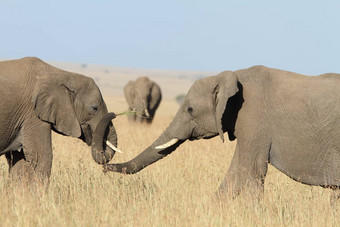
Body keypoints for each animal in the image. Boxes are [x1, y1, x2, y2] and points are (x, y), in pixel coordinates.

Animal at [0, 56, 119, 184]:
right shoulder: (33, 114)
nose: (105, 170)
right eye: (95, 108)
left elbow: (20, 162)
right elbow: (42, 157)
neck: (63, 75)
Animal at [105, 65, 340, 199]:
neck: (230, 76)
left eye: (190, 109)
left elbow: (248, 171)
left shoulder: (254, 119)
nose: (105, 169)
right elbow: (240, 173)